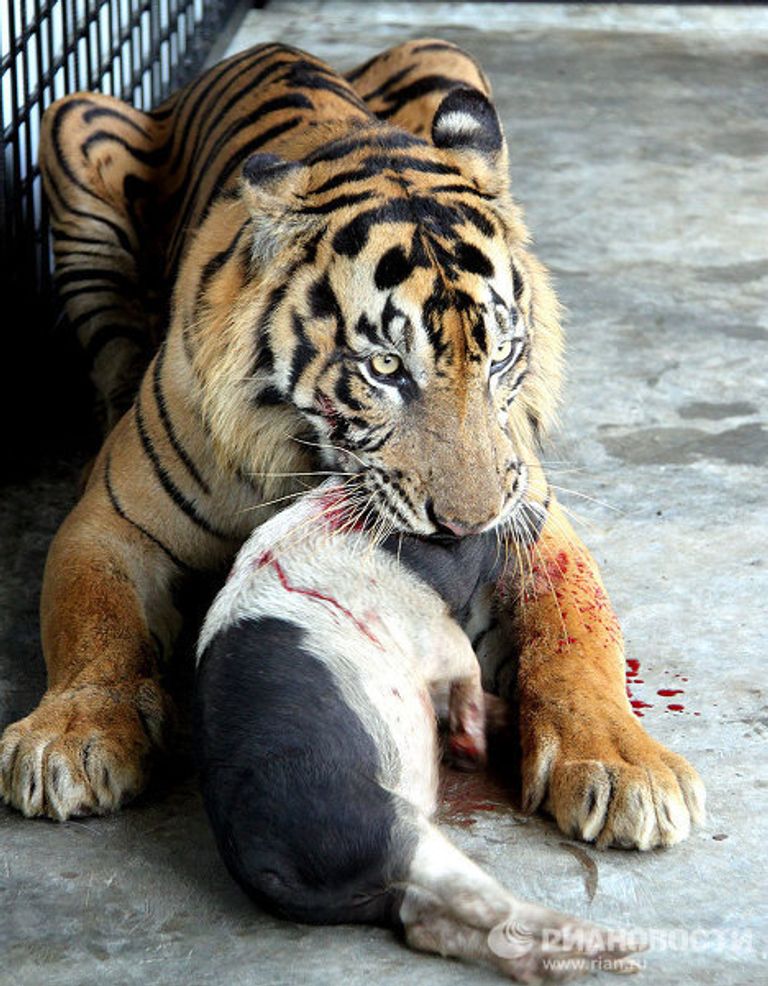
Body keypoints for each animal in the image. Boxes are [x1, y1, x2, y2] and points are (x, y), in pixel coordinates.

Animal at [0, 39, 704, 854]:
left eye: (499, 356)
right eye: (386, 368)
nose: (466, 525)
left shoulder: (530, 519)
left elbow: (580, 634)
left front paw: (624, 767)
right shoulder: (112, 524)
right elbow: (94, 619)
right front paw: (71, 737)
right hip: (73, 120)